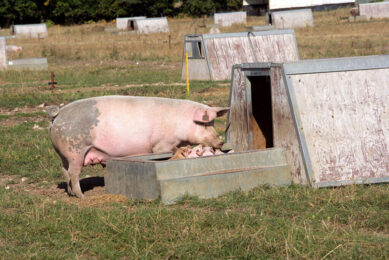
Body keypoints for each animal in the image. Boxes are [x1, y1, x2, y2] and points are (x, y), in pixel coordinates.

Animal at [46, 96, 227, 198]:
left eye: (213, 123)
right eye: (205, 124)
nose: (220, 142)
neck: (180, 123)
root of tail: (58, 114)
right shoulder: (162, 144)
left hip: (64, 154)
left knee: (65, 171)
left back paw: (70, 194)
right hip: (75, 150)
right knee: (74, 172)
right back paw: (81, 196)